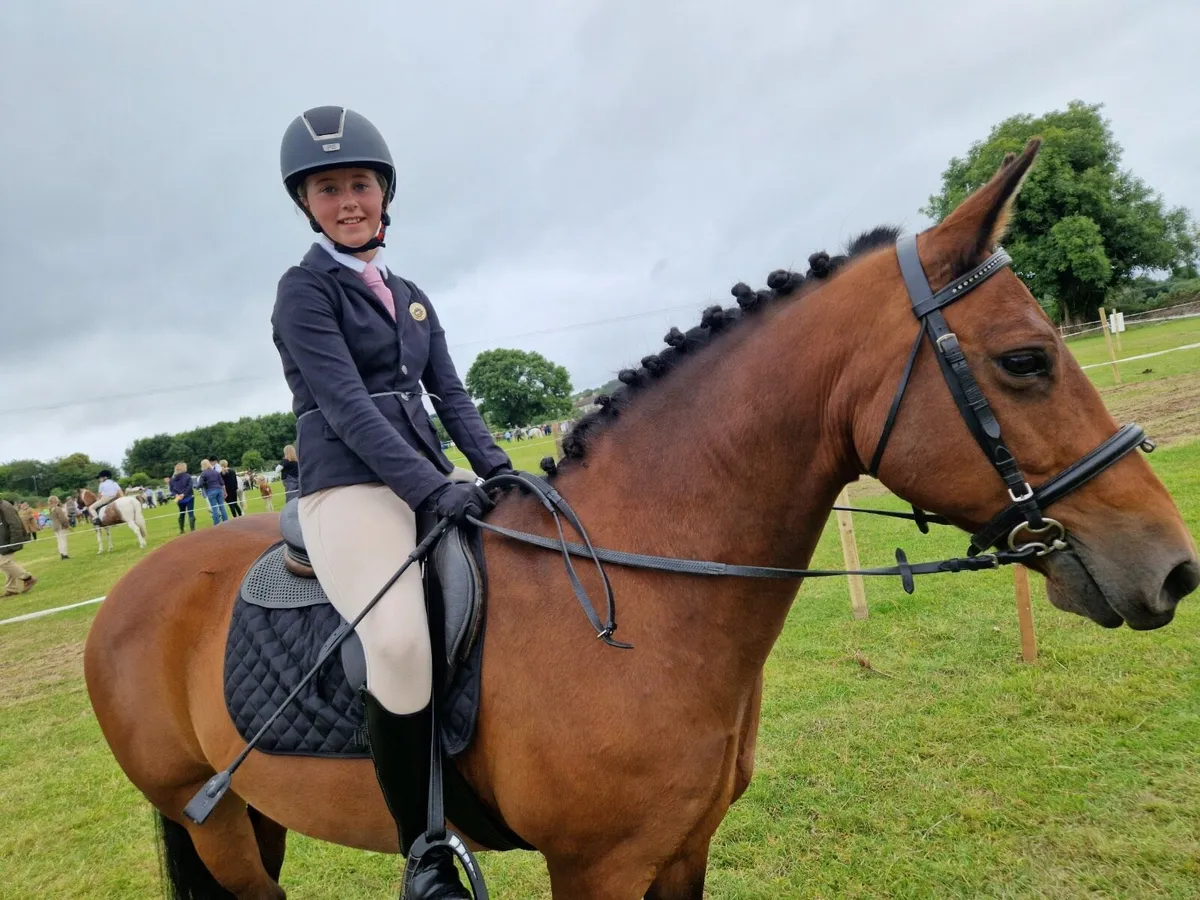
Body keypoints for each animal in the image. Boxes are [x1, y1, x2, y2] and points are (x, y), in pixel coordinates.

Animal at [85, 142, 1198, 899]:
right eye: (1026, 361)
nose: (1175, 569)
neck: (648, 599)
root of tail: (130, 592)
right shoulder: (598, 866)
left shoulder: (683, 846)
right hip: (215, 822)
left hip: (251, 813)